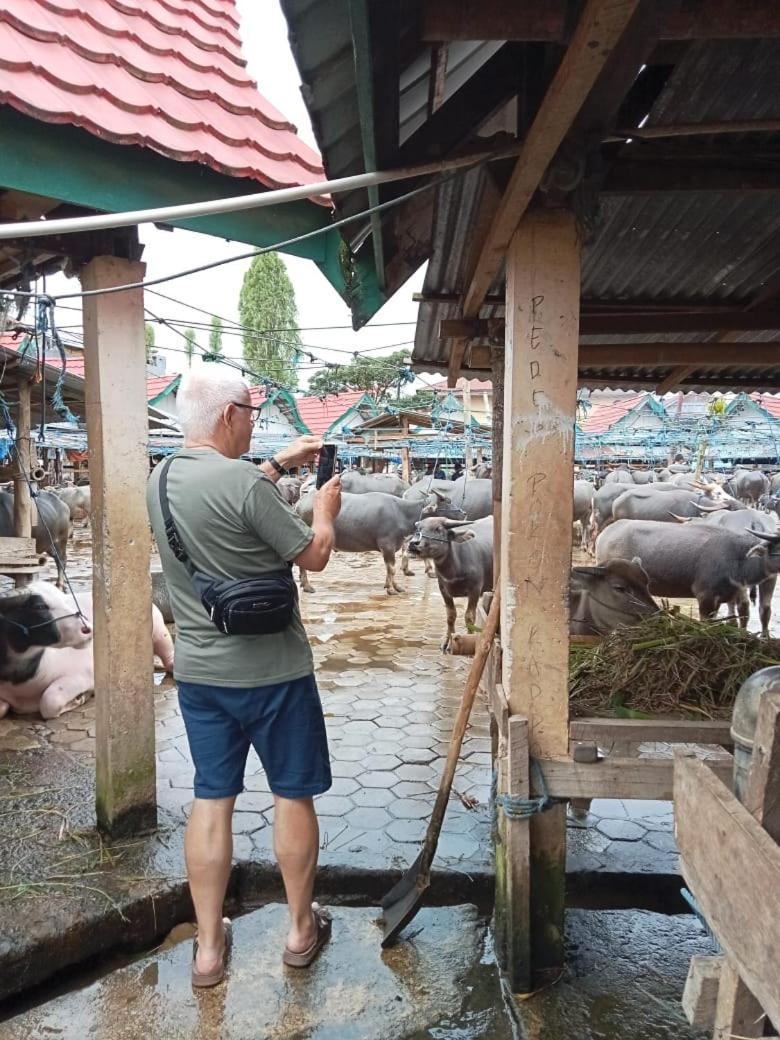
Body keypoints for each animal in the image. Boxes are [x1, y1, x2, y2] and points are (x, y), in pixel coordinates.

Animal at [0, 582, 175, 719]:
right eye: (39, 606)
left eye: (63, 598)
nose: (88, 628)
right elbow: (2, 708)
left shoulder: (84, 675)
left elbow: (49, 701)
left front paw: (80, 698)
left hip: (158, 629)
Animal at [295, 486, 428, 594]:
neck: (401, 512)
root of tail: (301, 501)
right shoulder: (387, 545)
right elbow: (392, 569)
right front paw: (391, 589)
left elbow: (389, 568)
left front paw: (394, 586)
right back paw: (307, 586)